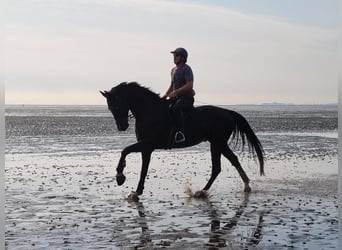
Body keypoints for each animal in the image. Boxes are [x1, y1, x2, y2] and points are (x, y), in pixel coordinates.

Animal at [99, 82, 264, 201]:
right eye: (109, 108)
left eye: (117, 105)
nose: (122, 127)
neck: (149, 112)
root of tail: (228, 112)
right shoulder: (146, 148)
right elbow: (142, 168)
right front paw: (136, 191)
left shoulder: (147, 144)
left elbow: (125, 151)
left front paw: (120, 177)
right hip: (216, 144)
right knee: (224, 164)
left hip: (219, 143)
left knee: (225, 164)